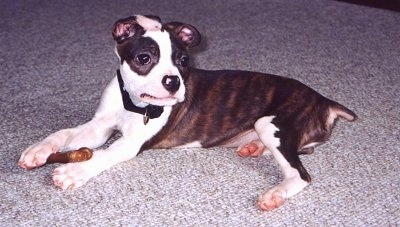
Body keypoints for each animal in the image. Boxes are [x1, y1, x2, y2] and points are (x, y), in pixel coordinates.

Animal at [18, 15, 356, 211]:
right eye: (144, 58)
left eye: (183, 60)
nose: (173, 81)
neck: (133, 102)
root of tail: (323, 99)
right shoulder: (99, 127)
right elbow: (65, 134)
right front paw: (38, 150)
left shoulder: (129, 143)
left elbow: (103, 154)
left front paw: (73, 172)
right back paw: (252, 147)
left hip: (270, 122)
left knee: (300, 173)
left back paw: (274, 193)